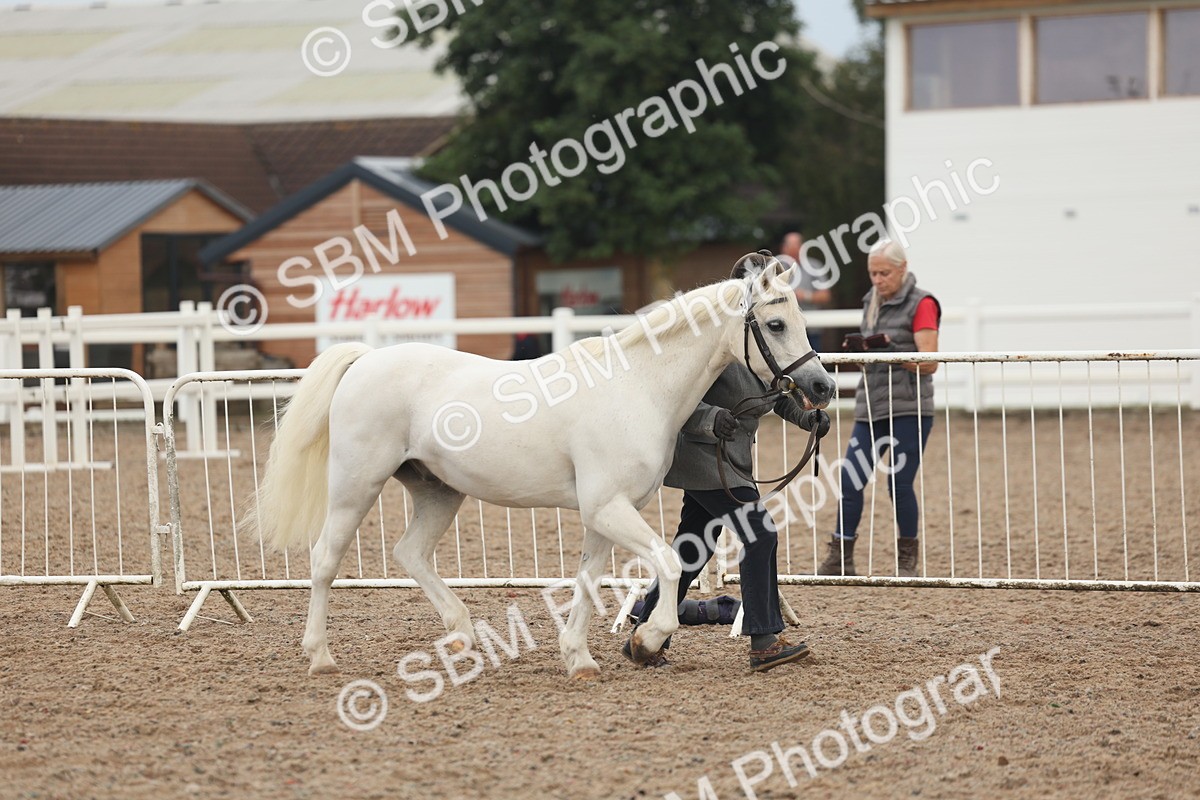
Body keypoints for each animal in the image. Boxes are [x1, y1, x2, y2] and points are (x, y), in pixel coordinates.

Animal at [248, 254, 835, 679]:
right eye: (775, 323)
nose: (822, 387)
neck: (636, 386)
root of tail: (366, 360)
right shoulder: (608, 508)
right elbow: (669, 565)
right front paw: (646, 641)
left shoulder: (605, 513)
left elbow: (589, 579)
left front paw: (579, 658)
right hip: (356, 484)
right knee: (325, 560)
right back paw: (321, 656)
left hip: (438, 490)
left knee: (410, 553)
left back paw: (463, 636)